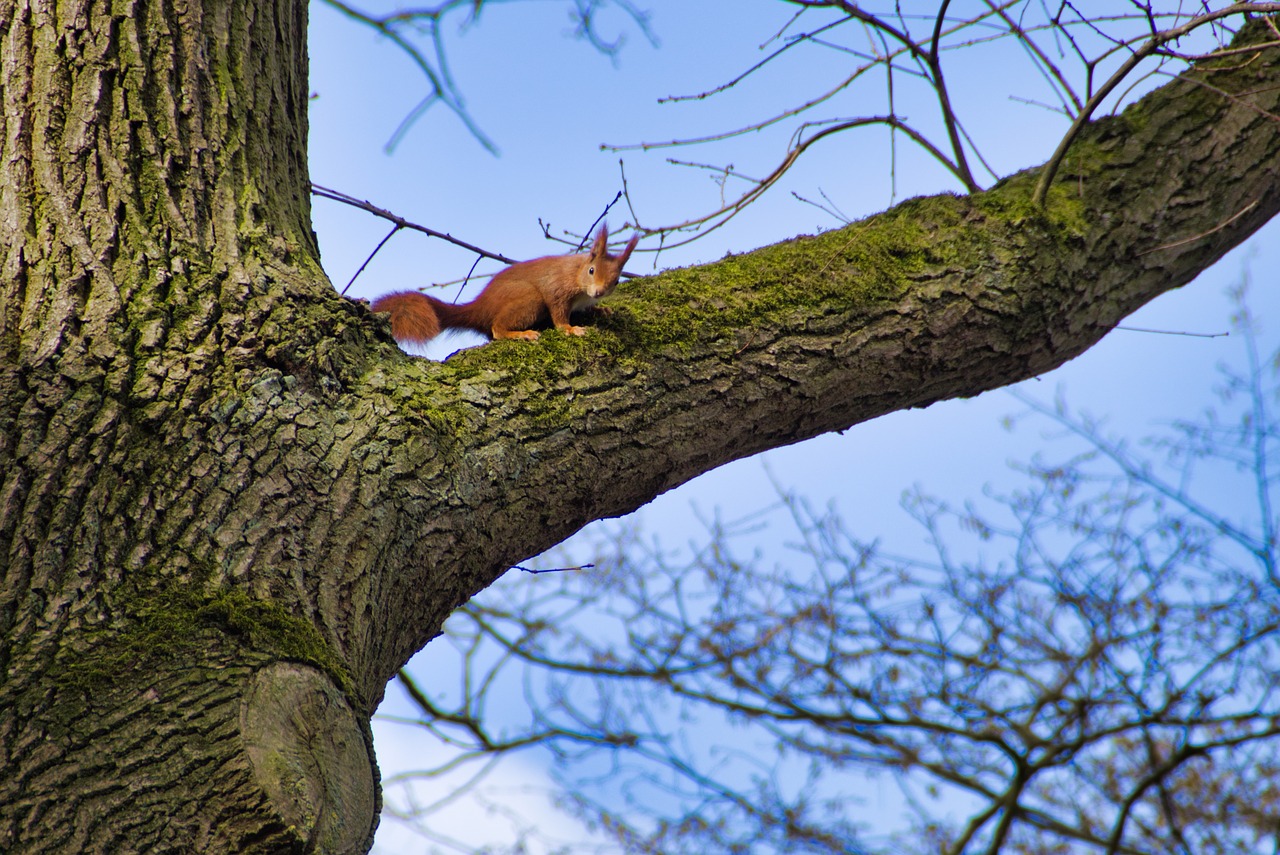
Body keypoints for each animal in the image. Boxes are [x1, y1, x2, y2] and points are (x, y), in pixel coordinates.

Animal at [373, 226, 637, 348]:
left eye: (616, 281)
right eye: (592, 270)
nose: (599, 292)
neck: (576, 275)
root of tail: (479, 307)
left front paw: (601, 309)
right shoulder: (557, 289)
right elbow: (558, 312)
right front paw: (570, 329)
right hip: (529, 298)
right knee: (497, 329)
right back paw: (520, 334)